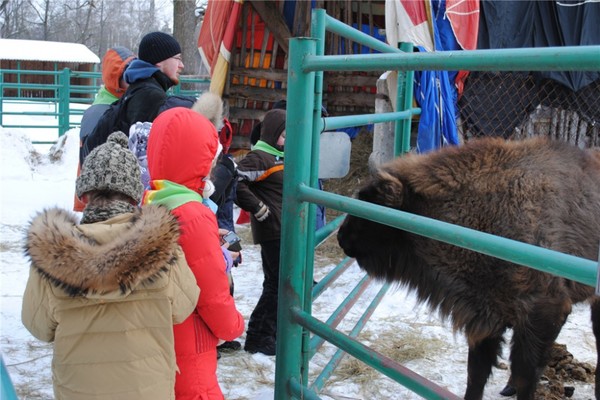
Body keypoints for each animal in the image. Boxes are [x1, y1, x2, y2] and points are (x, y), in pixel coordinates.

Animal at [338, 137, 600, 400]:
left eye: (371, 207)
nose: (341, 238)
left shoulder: (544, 312)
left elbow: (526, 374)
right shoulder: (484, 318)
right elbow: (476, 372)